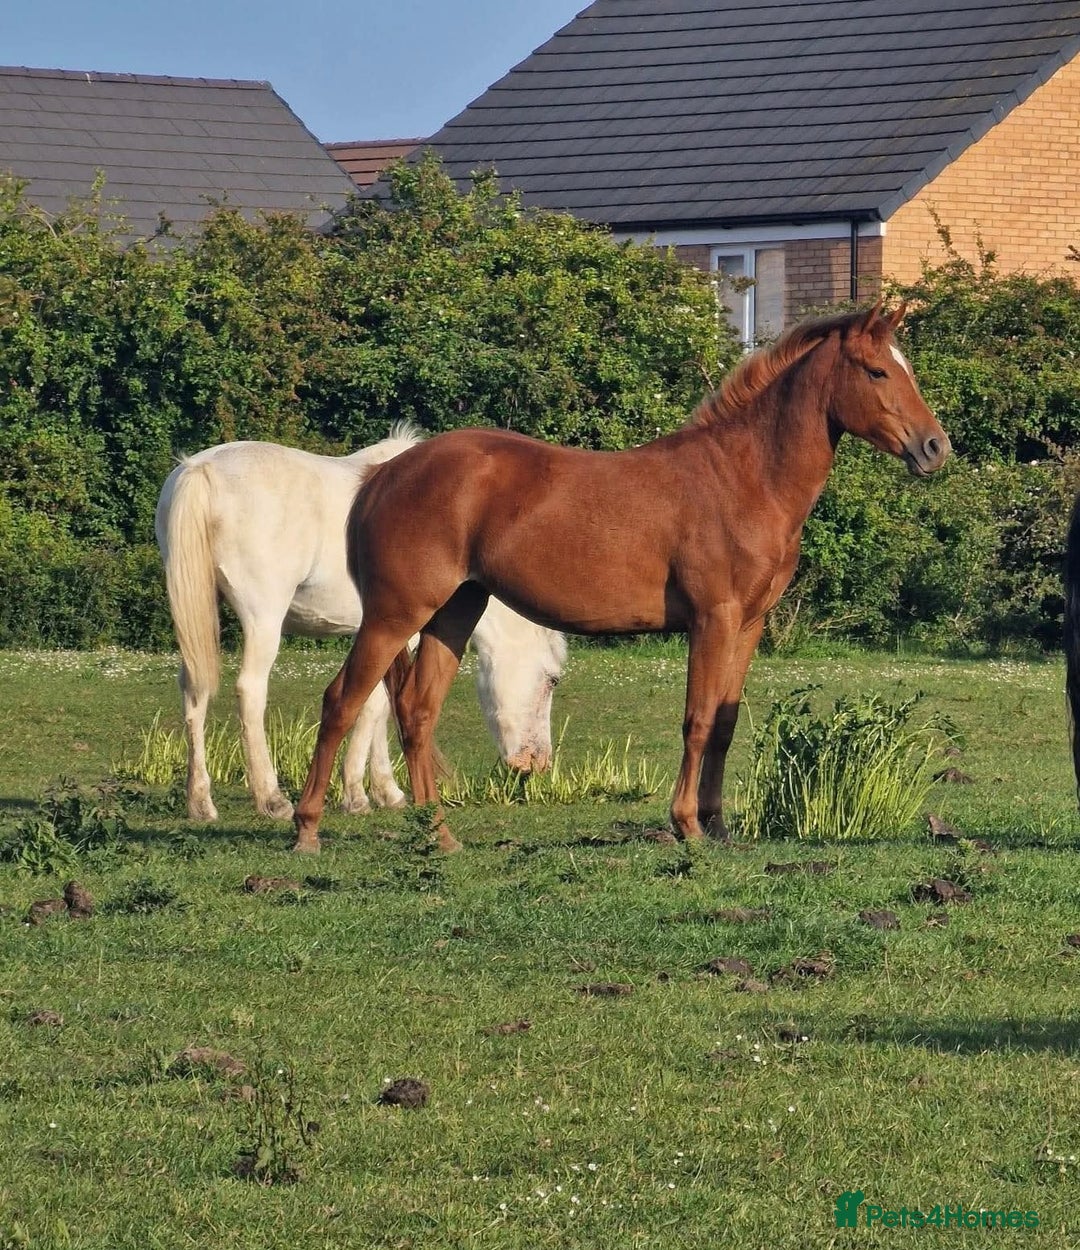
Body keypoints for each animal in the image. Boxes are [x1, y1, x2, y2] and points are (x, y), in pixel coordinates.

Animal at [155, 427, 567, 823]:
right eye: (552, 680)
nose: (537, 763)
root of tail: (200, 469)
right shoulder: (402, 634)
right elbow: (376, 708)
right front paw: (362, 794)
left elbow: (380, 706)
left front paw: (382, 791)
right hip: (263, 618)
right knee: (250, 691)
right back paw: (271, 798)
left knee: (193, 689)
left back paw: (200, 802)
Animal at [293, 303, 950, 854]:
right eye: (877, 372)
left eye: (906, 369)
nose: (935, 447)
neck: (743, 478)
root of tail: (381, 477)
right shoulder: (714, 620)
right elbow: (698, 719)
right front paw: (687, 824)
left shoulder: (749, 625)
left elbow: (725, 721)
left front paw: (718, 825)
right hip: (394, 614)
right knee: (342, 700)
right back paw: (306, 830)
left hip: (454, 612)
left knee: (417, 710)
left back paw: (440, 836)